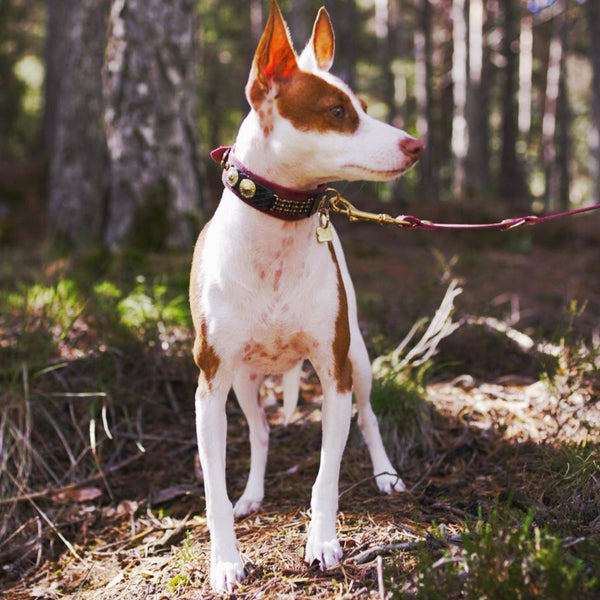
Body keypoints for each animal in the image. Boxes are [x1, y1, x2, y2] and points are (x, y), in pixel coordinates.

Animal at [190, 0, 424, 592]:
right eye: (337, 112)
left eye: (361, 107)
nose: (417, 144)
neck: (281, 230)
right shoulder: (210, 388)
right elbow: (214, 491)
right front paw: (225, 561)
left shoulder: (334, 373)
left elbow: (326, 476)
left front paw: (321, 542)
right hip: (245, 383)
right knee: (260, 433)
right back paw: (252, 494)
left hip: (358, 359)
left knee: (370, 420)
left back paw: (386, 475)